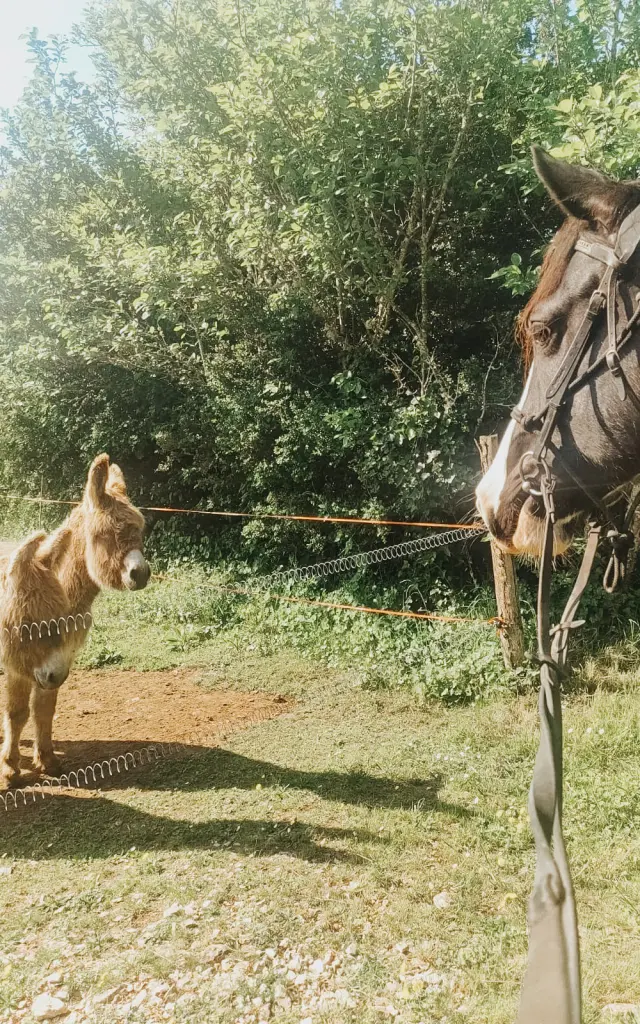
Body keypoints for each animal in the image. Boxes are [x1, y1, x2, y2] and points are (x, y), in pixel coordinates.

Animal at [0, 454, 150, 787]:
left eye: (140, 531)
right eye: (105, 534)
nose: (141, 574)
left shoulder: (58, 660)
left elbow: (45, 708)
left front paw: (47, 761)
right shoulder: (20, 660)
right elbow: (18, 713)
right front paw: (10, 769)